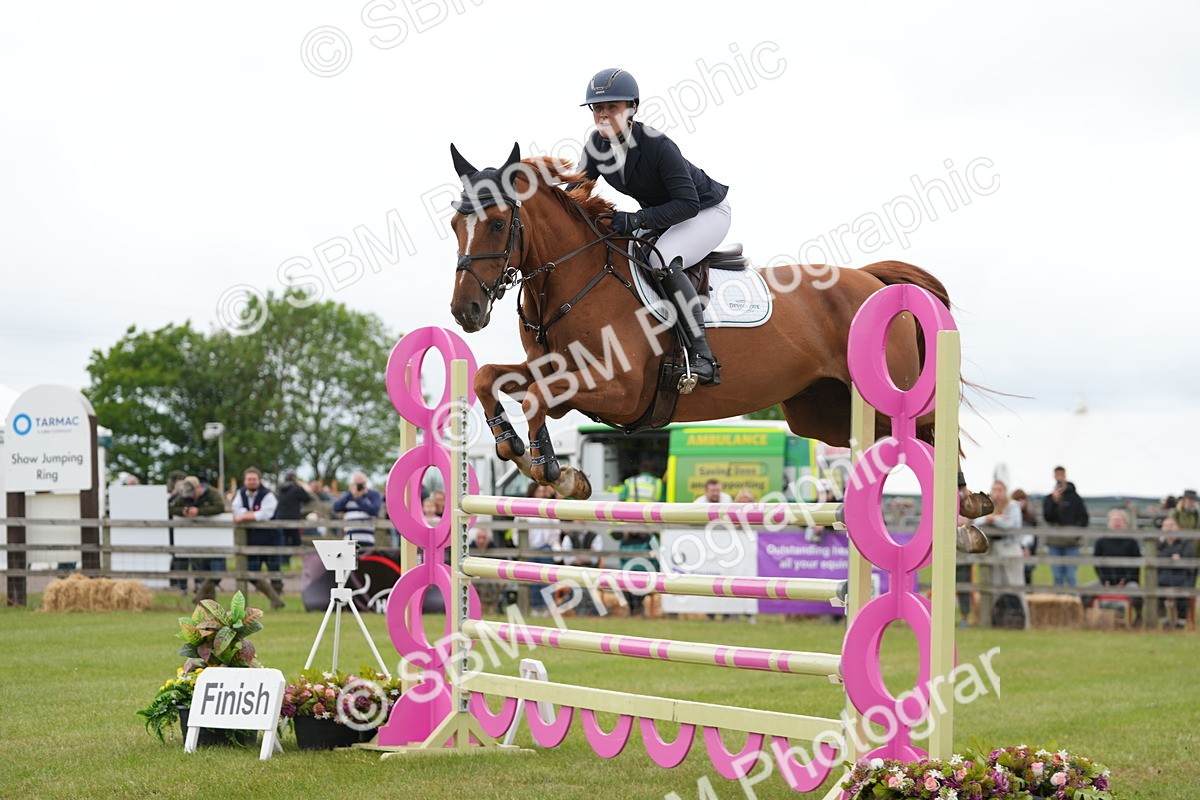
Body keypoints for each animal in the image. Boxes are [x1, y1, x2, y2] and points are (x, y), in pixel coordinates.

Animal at [445, 143, 993, 527]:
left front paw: (554, 472)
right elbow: (491, 378)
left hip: (884, 394)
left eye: (498, 224)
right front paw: (514, 447)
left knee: (929, 428)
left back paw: (968, 504)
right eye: (454, 222)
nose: (465, 311)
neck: (577, 279)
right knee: (893, 438)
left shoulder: (621, 392)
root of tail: (876, 282)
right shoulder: (559, 370)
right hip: (821, 414)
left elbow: (537, 397)